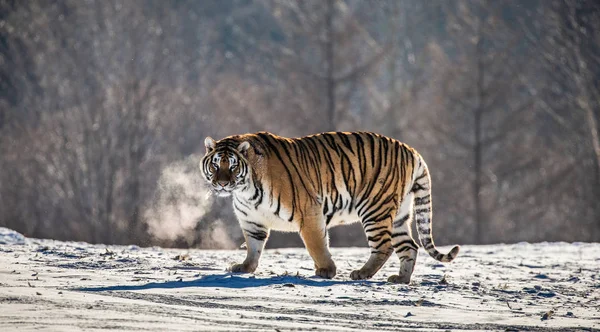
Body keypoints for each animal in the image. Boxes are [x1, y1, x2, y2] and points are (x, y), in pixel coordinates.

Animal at [202, 132, 460, 282]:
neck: (246, 190)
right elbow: (253, 246)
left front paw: (326, 270)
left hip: (375, 208)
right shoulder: (251, 220)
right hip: (399, 215)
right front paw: (245, 267)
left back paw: (362, 273)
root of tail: (411, 150)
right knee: (410, 247)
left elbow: (316, 244)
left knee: (384, 246)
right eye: (215, 165)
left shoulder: (309, 211)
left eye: (233, 166)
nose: (222, 183)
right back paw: (400, 279)